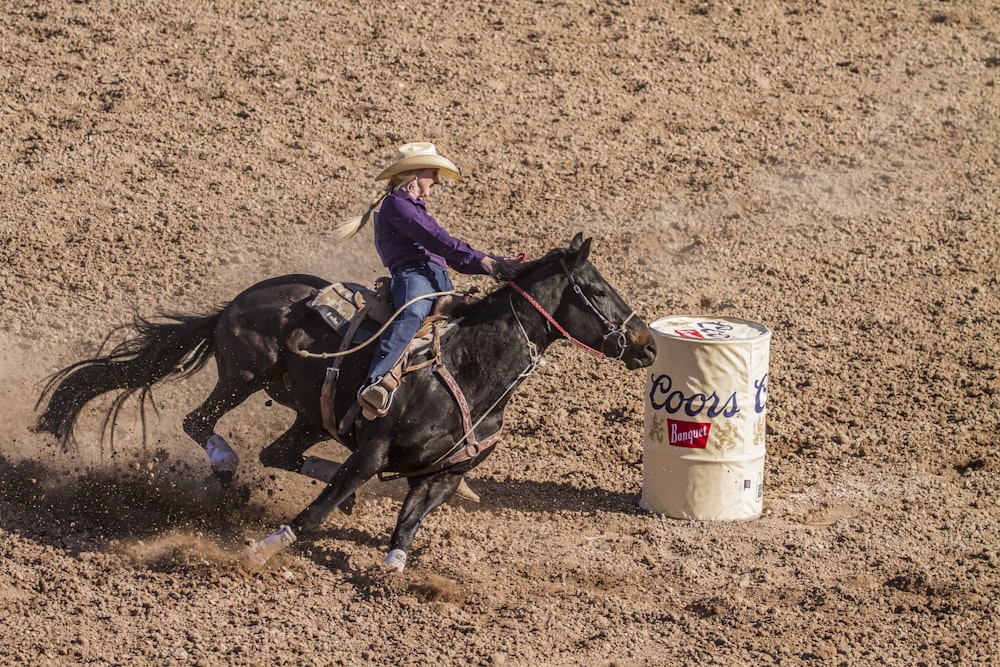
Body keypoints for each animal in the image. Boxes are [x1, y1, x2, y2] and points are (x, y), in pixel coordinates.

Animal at [35, 234, 656, 568]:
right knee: (200, 422)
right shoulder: (372, 452)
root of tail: (238, 301)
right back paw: (226, 462)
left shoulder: (442, 475)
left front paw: (397, 569)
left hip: (309, 413)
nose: (647, 343)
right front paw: (263, 549)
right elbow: (315, 515)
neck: (470, 367)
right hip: (244, 374)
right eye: (595, 290)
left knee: (279, 454)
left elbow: (405, 529)